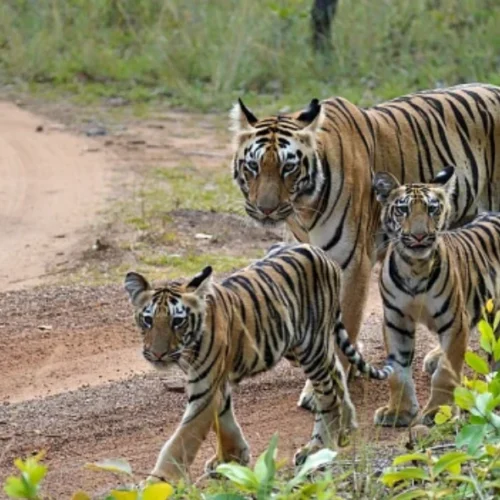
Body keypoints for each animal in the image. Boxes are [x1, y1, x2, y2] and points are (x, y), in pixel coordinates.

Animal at [123, 244, 392, 482]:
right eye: (147, 320)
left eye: (177, 321)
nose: (157, 354)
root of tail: (323, 254)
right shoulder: (215, 384)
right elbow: (223, 420)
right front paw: (232, 458)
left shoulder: (204, 389)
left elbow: (181, 441)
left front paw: (158, 482)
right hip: (298, 347)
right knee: (336, 370)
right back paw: (346, 427)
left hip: (310, 348)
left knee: (328, 396)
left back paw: (317, 448)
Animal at [230, 83, 500, 410]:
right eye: (253, 166)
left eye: (288, 168)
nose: (265, 209)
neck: (303, 209)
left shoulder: (352, 264)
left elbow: (344, 324)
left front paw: (327, 386)